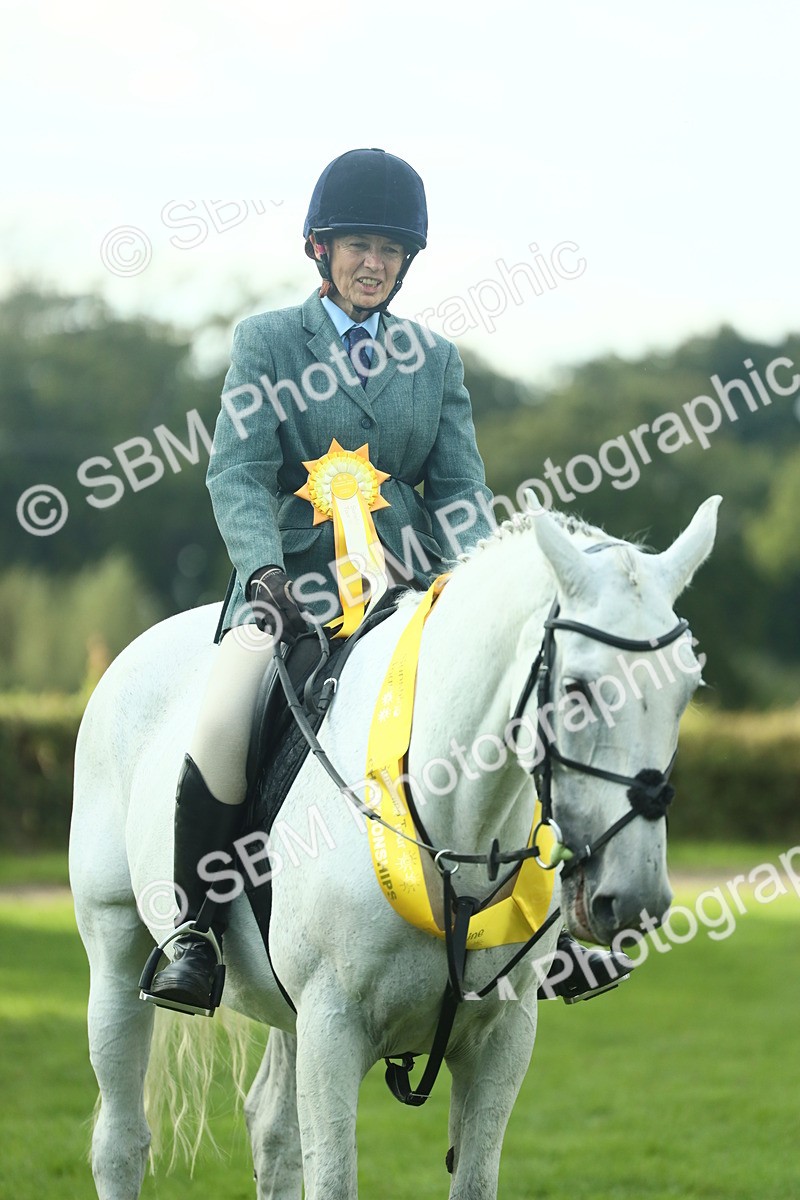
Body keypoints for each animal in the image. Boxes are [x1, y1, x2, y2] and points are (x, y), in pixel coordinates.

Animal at [69, 494, 721, 1200]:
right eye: (576, 689)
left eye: (686, 690)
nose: (632, 898)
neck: (450, 827)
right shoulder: (331, 1030)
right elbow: (332, 1179)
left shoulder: (501, 1038)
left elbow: (472, 1180)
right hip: (116, 947)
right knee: (121, 1141)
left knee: (271, 1131)